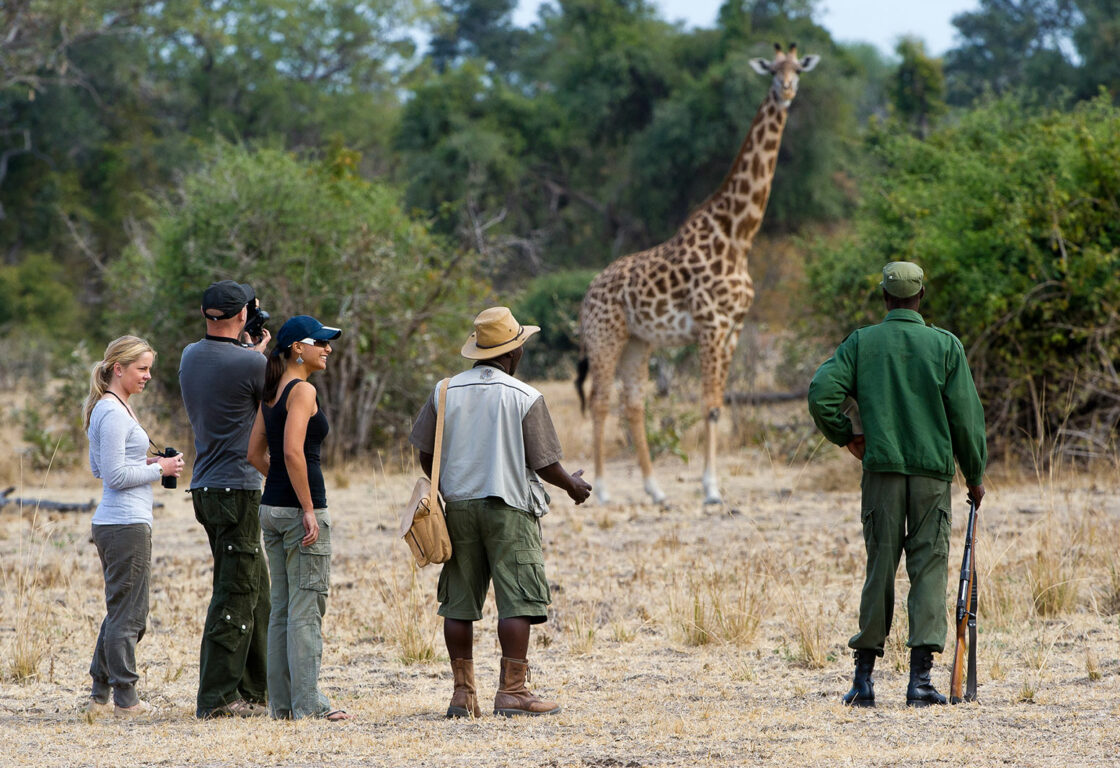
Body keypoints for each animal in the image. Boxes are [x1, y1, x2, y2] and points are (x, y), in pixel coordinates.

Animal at [575, 43, 820, 505]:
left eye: (798, 69)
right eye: (772, 70)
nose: (786, 90)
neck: (739, 234)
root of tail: (588, 291)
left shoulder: (733, 328)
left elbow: (717, 405)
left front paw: (710, 484)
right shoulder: (711, 324)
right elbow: (707, 404)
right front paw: (710, 489)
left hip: (637, 342)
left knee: (633, 403)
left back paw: (655, 489)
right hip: (605, 336)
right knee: (599, 400)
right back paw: (601, 490)